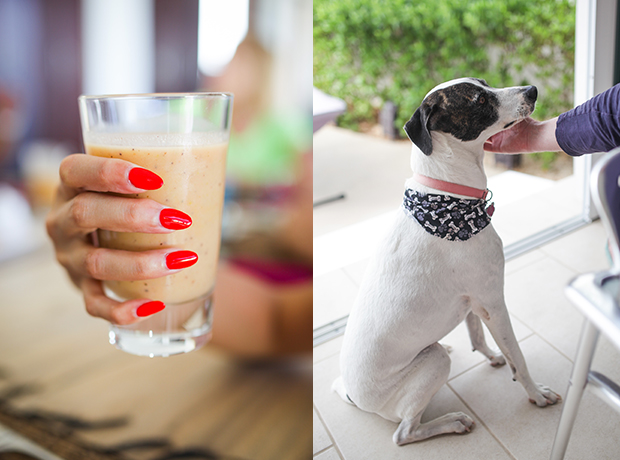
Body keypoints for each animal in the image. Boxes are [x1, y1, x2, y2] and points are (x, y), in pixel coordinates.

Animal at [334, 78, 560, 446]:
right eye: (480, 99)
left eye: (485, 83)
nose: (532, 90)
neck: (449, 200)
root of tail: (353, 396)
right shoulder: (493, 302)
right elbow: (519, 358)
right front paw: (536, 394)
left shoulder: (472, 303)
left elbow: (478, 338)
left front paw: (493, 356)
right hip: (431, 365)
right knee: (404, 433)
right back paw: (453, 422)